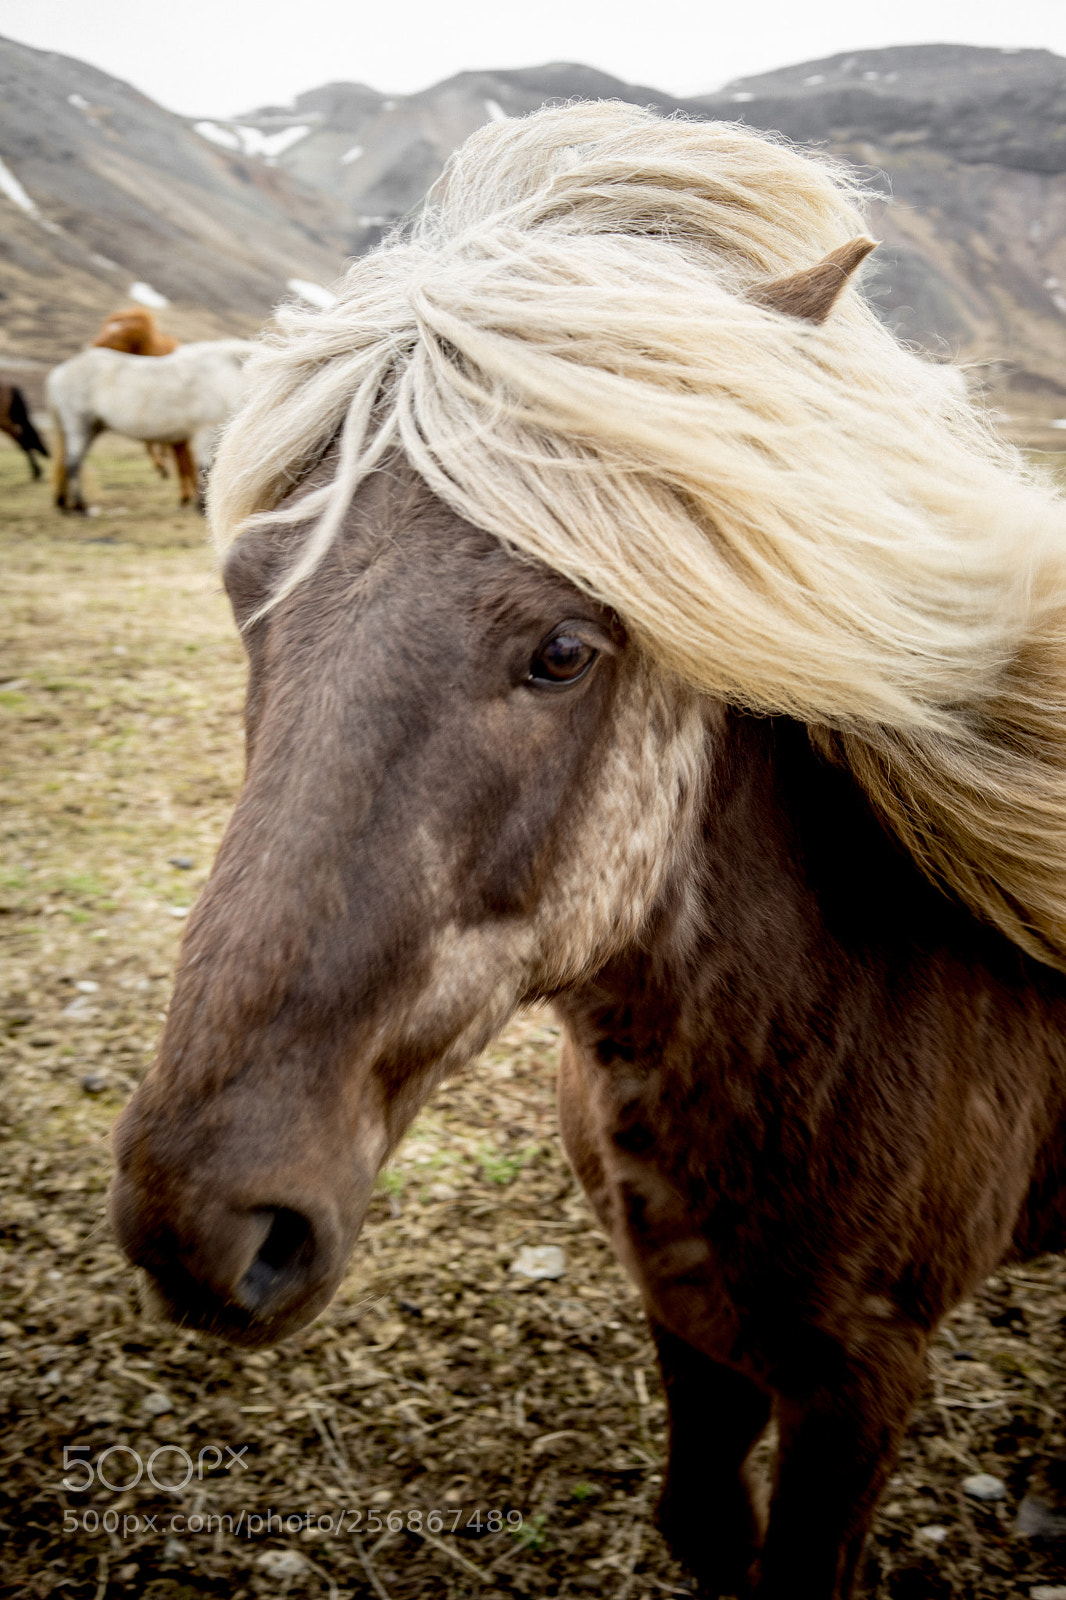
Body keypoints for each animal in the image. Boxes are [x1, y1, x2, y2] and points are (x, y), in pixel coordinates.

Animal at [47, 340, 253, 513]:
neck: (225, 373)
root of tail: (59, 373)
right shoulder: (205, 432)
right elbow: (206, 469)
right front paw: (202, 507)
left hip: (92, 429)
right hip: (79, 426)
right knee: (73, 463)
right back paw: (80, 506)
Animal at [91, 307, 198, 506]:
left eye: (120, 334)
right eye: (105, 328)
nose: (94, 346)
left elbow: (183, 460)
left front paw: (189, 492)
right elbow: (150, 445)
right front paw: (165, 471)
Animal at [108, 104, 1066, 1599]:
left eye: (564, 651)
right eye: (245, 593)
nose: (200, 1225)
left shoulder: (866, 1378)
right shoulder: (684, 1305)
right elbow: (703, 1520)